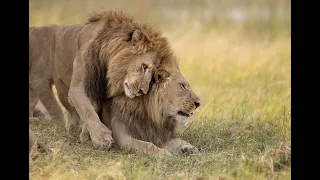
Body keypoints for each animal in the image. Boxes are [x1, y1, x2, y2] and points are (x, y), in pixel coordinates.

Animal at [29, 9, 175, 148]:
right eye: (144, 66)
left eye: (153, 74)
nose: (142, 91)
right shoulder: (78, 88)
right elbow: (88, 110)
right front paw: (101, 137)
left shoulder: (101, 93)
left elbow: (93, 109)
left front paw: (87, 134)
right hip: (61, 90)